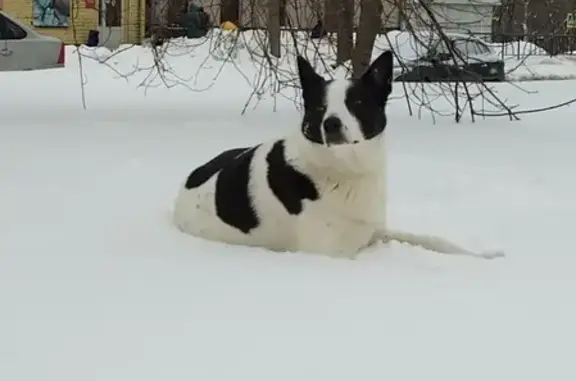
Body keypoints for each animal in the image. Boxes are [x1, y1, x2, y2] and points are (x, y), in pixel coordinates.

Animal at [172, 50, 504, 258]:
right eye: (320, 106)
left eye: (356, 102)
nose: (330, 124)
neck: (345, 170)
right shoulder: (332, 252)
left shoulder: (375, 230)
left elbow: (432, 239)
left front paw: (485, 255)